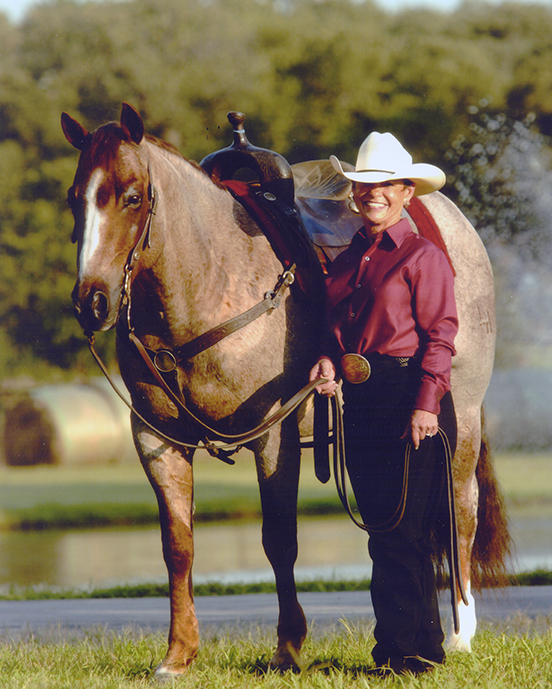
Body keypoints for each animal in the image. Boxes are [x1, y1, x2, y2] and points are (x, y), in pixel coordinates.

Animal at [61, 103, 509, 679]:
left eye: (132, 195)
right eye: (75, 196)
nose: (91, 301)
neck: (208, 282)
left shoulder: (272, 436)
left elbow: (279, 541)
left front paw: (288, 647)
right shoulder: (156, 438)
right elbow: (178, 546)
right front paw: (179, 654)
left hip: (461, 415)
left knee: (460, 506)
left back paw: (459, 634)